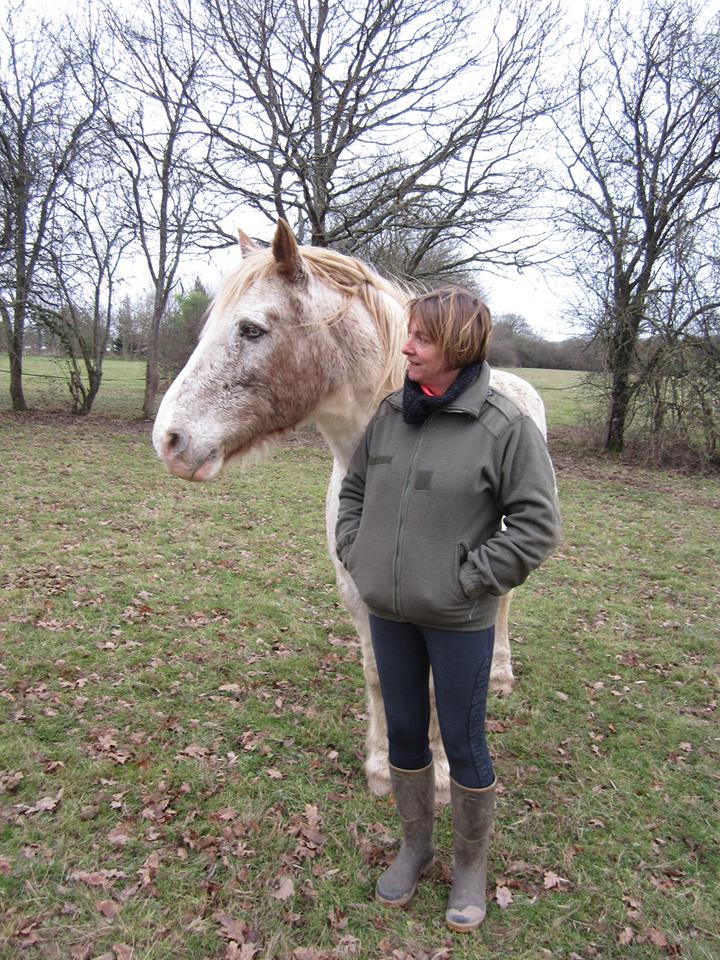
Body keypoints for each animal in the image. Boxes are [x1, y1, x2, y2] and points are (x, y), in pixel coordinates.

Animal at [152, 219, 544, 804]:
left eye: (251, 330)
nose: (169, 440)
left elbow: (437, 685)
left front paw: (442, 774)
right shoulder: (361, 593)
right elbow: (383, 673)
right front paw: (385, 765)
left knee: (500, 610)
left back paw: (498, 675)